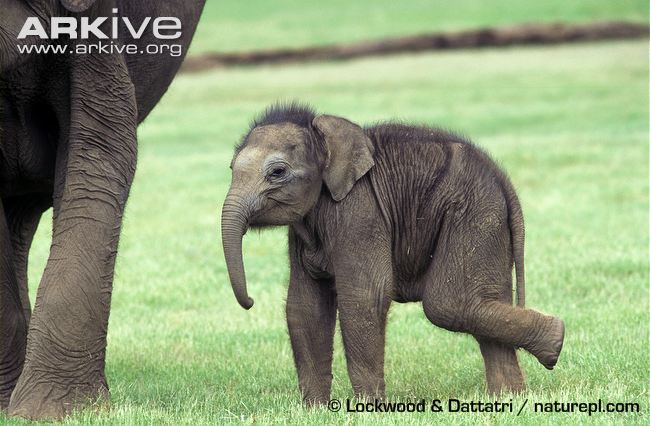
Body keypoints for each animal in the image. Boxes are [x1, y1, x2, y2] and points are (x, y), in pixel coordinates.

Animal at [221, 102, 565, 404]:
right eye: (231, 168)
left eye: (277, 172)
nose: (250, 302)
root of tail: (502, 178)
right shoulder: (302, 232)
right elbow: (305, 306)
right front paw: (314, 410)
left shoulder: (360, 212)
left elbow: (364, 296)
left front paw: (368, 409)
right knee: (482, 300)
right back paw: (512, 394)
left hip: (475, 214)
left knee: (449, 303)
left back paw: (555, 342)